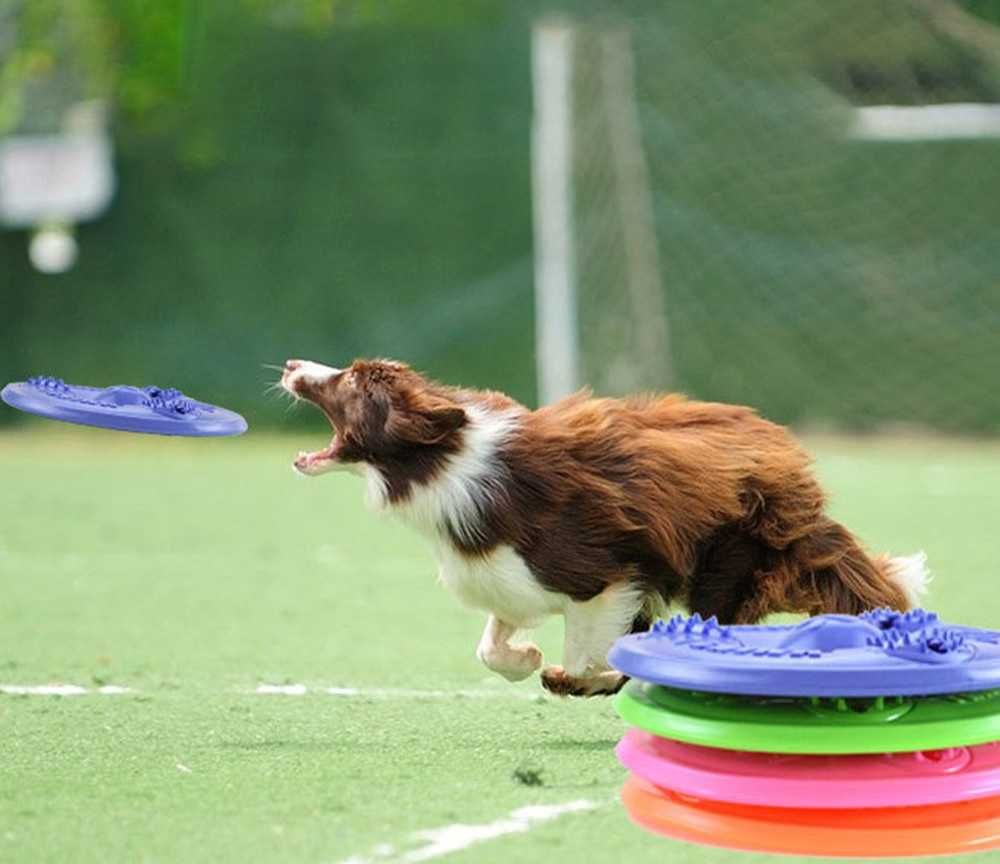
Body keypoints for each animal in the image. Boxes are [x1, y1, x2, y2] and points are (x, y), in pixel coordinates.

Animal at [278, 358, 924, 696]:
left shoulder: (601, 576)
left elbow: (590, 652)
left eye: (353, 382)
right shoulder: (510, 576)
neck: (445, 460)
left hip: (721, 568)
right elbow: (491, 643)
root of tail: (787, 457)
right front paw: (525, 658)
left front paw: (582, 678)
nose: (291, 365)